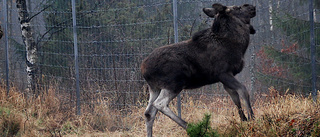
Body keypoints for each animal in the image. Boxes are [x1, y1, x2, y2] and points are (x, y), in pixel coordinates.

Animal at [141, 2, 256, 136]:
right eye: (237, 8)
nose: (252, 7)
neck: (236, 43)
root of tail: (143, 69)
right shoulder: (223, 73)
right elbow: (243, 90)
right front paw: (252, 119)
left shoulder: (225, 78)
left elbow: (235, 97)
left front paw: (244, 120)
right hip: (174, 84)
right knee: (160, 104)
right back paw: (191, 126)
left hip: (155, 88)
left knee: (149, 113)